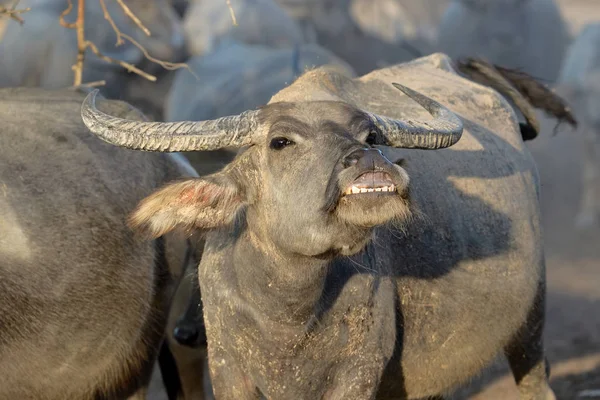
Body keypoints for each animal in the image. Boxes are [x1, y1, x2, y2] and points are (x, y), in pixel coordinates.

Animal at [78, 52, 552, 396]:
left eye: (371, 137)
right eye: (280, 142)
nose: (369, 161)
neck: (288, 318)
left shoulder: (360, 372)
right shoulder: (228, 370)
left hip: (532, 315)